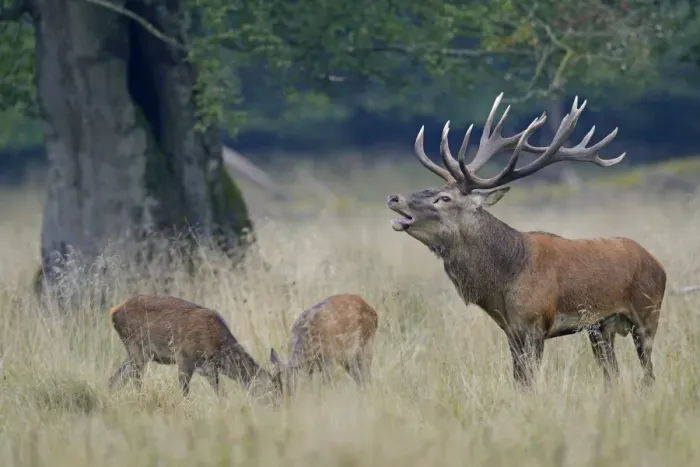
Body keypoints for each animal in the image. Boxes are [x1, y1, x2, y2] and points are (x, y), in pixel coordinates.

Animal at [107, 295, 281, 400]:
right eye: (271, 392)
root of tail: (113, 311)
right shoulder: (184, 357)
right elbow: (184, 394)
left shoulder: (210, 370)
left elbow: (221, 395)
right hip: (137, 348)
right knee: (135, 380)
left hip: (136, 353)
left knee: (115, 378)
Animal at [386, 93, 666, 389]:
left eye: (444, 198)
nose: (394, 198)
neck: (504, 280)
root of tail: (658, 264)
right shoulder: (511, 329)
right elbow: (519, 380)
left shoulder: (535, 323)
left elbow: (530, 381)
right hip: (601, 327)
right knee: (612, 374)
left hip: (647, 314)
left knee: (648, 373)